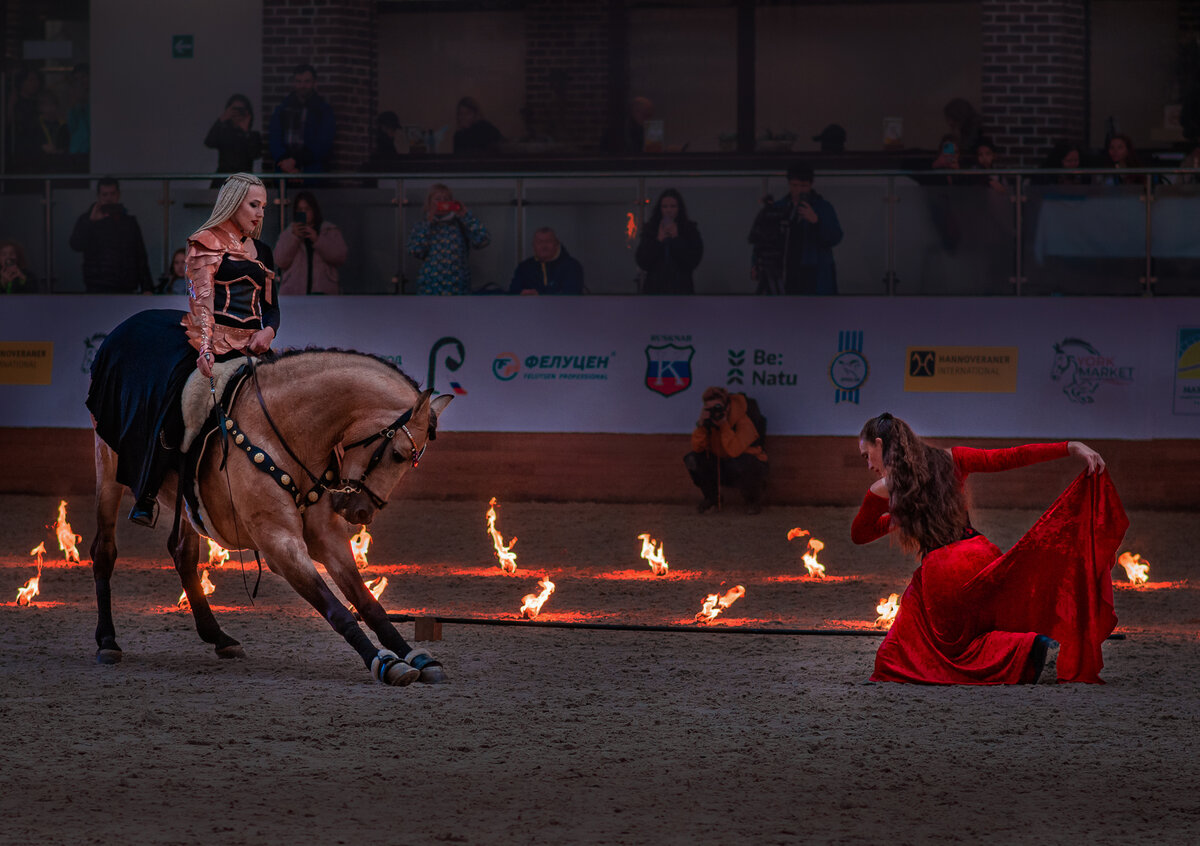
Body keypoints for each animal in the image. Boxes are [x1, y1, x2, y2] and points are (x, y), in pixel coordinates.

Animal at [88, 345, 451, 681]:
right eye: (398, 455)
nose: (362, 512)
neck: (285, 432)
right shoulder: (280, 543)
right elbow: (336, 609)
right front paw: (383, 661)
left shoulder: (326, 537)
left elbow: (367, 603)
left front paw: (415, 656)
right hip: (107, 467)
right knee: (104, 550)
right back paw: (107, 641)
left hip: (186, 504)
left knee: (183, 553)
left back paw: (218, 637)